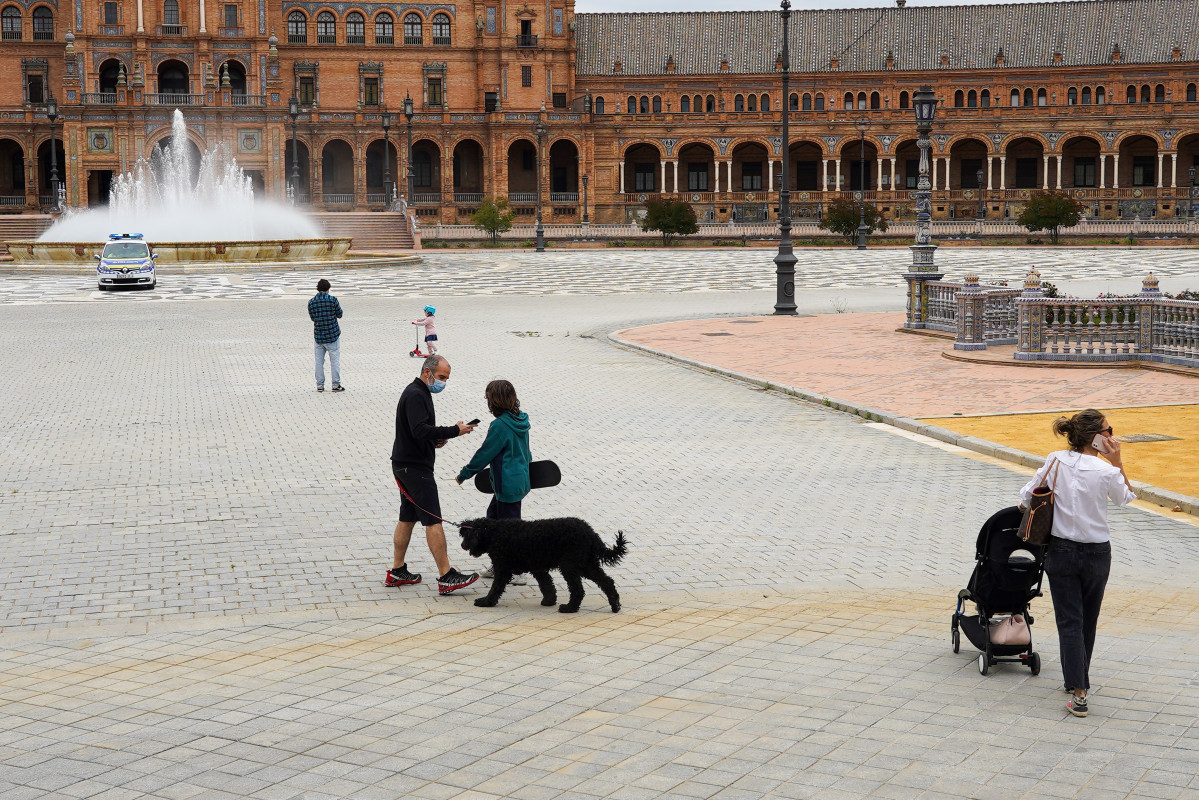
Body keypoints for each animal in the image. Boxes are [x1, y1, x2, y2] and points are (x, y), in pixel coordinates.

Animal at [458, 520, 628, 614]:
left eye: (466, 536)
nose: (462, 545)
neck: (494, 532)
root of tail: (591, 533)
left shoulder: (502, 568)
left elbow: (495, 588)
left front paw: (486, 602)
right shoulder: (537, 566)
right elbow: (546, 584)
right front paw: (549, 600)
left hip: (570, 565)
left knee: (578, 590)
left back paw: (569, 608)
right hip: (587, 564)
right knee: (607, 582)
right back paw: (615, 604)